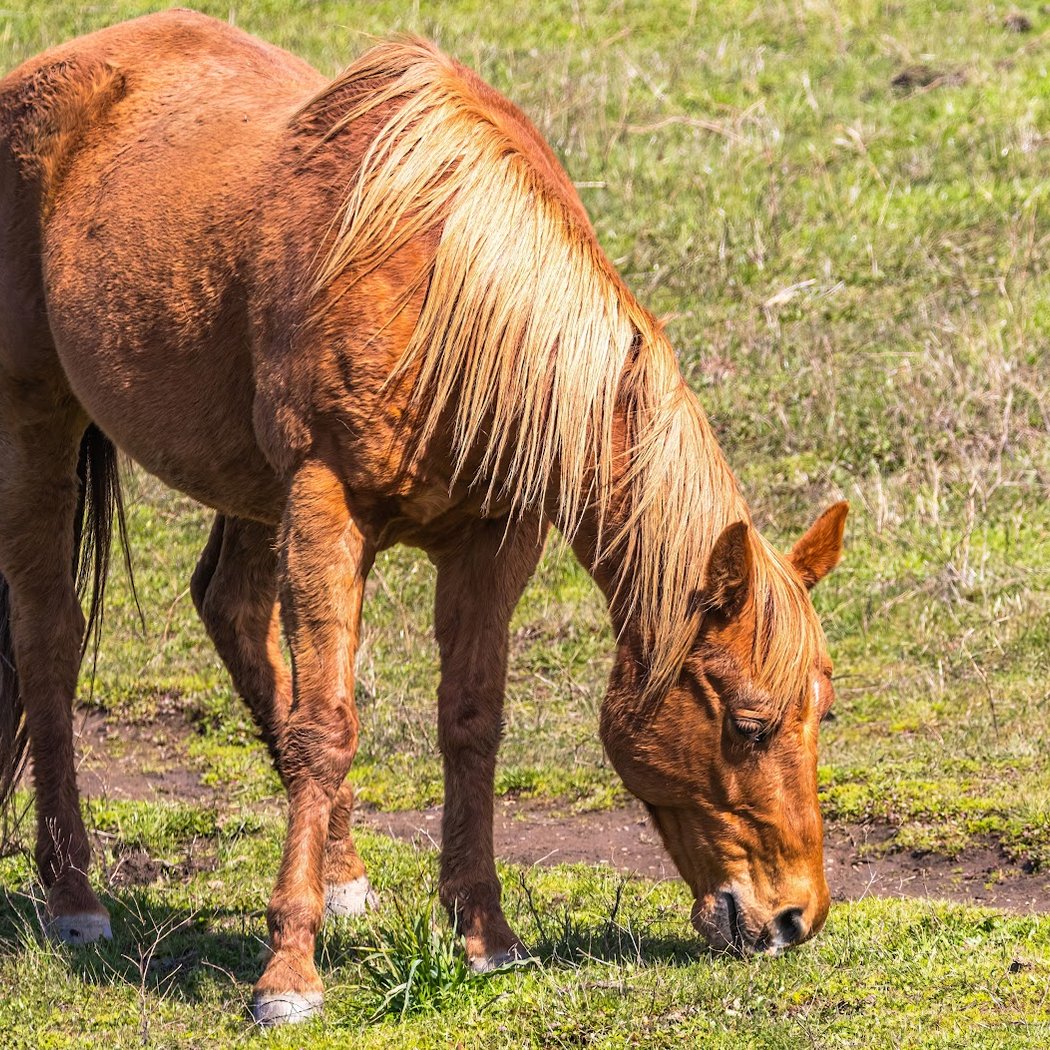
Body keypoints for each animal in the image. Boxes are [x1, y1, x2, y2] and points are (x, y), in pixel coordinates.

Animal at [0, 10, 848, 1025]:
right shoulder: (326, 507)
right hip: (40, 420)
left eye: (824, 713)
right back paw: (74, 898)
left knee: (228, 611)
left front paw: (484, 934)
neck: (446, 290)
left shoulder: (493, 541)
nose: (796, 918)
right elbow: (328, 725)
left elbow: (470, 723)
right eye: (750, 725)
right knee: (52, 640)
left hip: (248, 485)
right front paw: (289, 975)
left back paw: (344, 877)